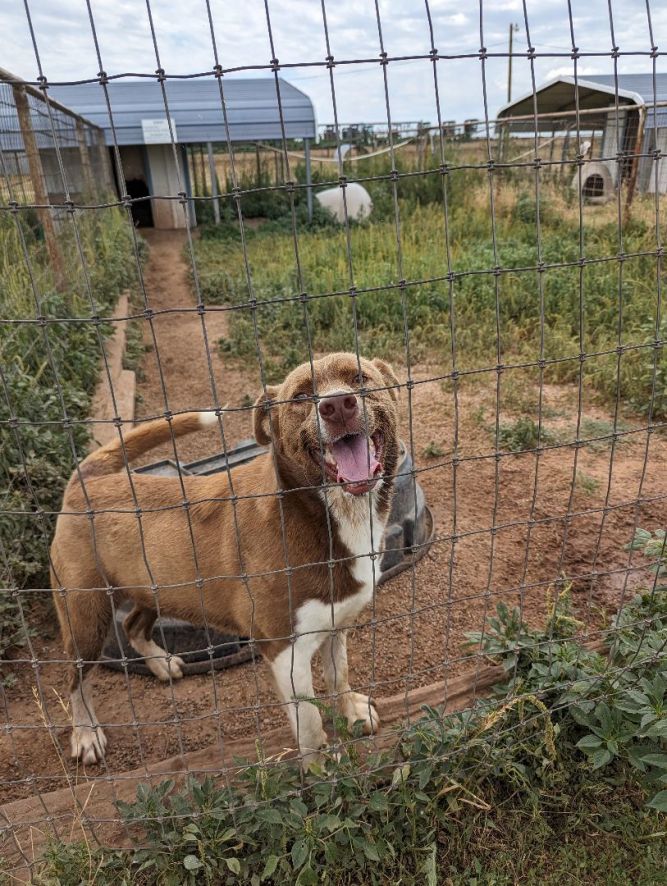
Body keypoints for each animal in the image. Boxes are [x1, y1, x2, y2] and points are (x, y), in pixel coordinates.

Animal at [52, 354, 400, 772]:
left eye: (360, 378)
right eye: (301, 396)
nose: (337, 406)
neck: (320, 512)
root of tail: (86, 479)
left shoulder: (337, 622)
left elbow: (339, 675)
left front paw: (352, 713)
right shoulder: (286, 652)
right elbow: (311, 723)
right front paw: (320, 770)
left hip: (156, 588)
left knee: (133, 624)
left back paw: (161, 663)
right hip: (85, 616)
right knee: (76, 679)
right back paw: (86, 734)